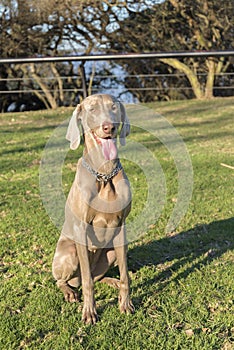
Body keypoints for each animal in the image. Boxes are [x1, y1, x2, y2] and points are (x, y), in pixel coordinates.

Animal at [52, 94, 134, 324]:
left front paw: (125, 303)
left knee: (97, 276)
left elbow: (125, 275)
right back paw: (70, 292)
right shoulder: (81, 228)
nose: (109, 127)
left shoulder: (121, 226)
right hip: (70, 252)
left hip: (110, 252)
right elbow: (88, 283)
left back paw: (112, 281)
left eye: (113, 107)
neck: (104, 174)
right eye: (92, 109)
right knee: (67, 281)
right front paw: (89, 312)